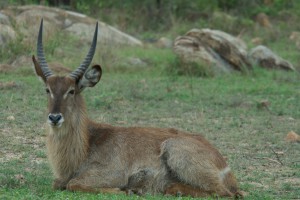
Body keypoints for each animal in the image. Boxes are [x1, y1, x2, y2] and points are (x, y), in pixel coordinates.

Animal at [32, 19, 241, 198]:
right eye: (47, 89)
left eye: (72, 91)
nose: (54, 117)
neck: (87, 143)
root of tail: (223, 163)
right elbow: (58, 183)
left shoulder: (111, 173)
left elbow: (73, 184)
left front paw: (124, 190)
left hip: (174, 150)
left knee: (225, 193)